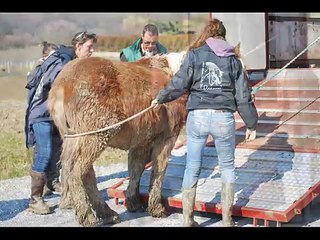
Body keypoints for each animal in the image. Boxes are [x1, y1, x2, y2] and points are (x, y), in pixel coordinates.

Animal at [47, 53, 188, 227]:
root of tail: (61, 85)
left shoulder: (141, 141)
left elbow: (136, 170)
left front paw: (133, 202)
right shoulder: (167, 136)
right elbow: (159, 170)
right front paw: (157, 208)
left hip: (73, 138)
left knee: (79, 171)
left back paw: (107, 213)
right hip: (96, 134)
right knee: (77, 172)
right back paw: (88, 216)